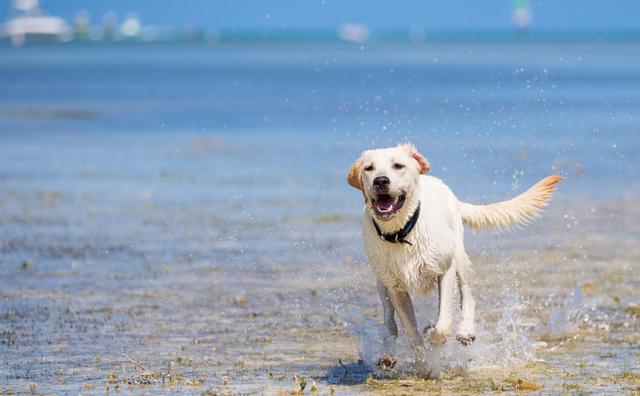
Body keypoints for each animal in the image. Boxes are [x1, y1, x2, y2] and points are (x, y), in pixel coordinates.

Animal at [348, 144, 564, 364]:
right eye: (369, 168)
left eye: (398, 165)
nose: (381, 181)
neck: (402, 233)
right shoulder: (395, 287)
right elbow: (410, 330)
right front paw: (422, 361)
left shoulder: (445, 270)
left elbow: (443, 324)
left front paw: (432, 333)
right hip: (380, 281)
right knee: (388, 317)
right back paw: (388, 353)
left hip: (459, 256)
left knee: (468, 294)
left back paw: (466, 331)